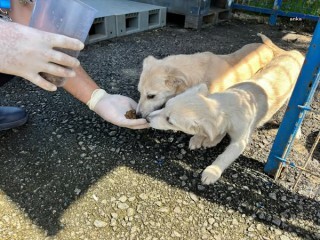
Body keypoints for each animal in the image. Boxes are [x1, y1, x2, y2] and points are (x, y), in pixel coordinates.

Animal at [146, 49, 304, 186]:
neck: (227, 104)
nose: (147, 118)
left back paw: (297, 133)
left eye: (170, 121)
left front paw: (211, 172)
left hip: (294, 100)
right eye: (166, 105)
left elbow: (225, 156)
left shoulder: (240, 141)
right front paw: (208, 140)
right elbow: (216, 131)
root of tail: (295, 52)